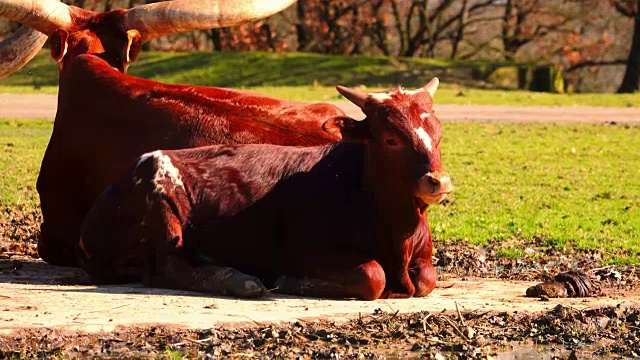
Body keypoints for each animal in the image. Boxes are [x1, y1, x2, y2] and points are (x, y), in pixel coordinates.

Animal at [77, 80, 452, 300]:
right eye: (391, 139)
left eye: (439, 131)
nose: (439, 181)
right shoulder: (310, 251)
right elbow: (373, 277)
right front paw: (290, 281)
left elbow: (427, 278)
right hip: (163, 204)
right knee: (164, 269)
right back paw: (237, 280)